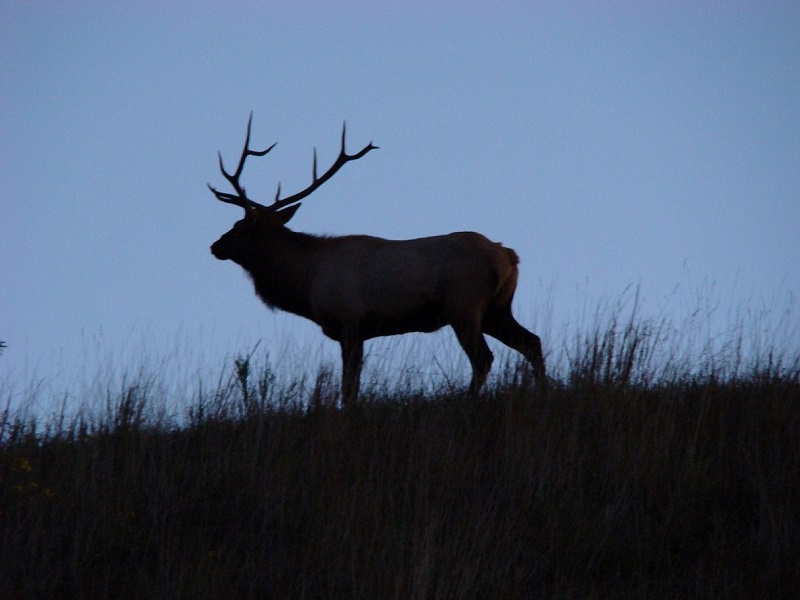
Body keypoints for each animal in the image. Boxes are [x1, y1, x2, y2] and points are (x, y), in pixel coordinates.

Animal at [209, 113, 548, 404]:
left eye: (239, 227)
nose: (215, 246)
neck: (305, 282)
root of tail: (509, 256)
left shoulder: (349, 321)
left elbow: (348, 387)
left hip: (464, 306)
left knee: (484, 358)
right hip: (497, 309)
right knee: (532, 342)